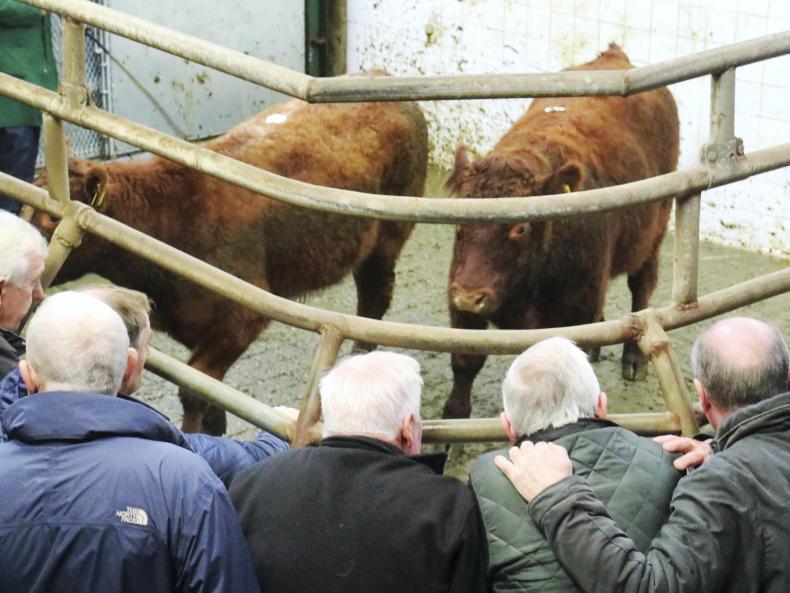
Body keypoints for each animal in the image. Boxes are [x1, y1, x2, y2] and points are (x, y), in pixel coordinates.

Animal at [33, 73, 428, 435]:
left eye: (51, 218)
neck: (171, 213)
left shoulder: (243, 316)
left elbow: (195, 390)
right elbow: (213, 393)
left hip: (387, 239)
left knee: (375, 298)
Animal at [444, 44, 679, 419]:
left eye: (521, 227)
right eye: (458, 222)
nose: (470, 295)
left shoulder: (574, 307)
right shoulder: (462, 297)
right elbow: (465, 360)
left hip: (652, 236)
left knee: (642, 287)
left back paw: (632, 358)